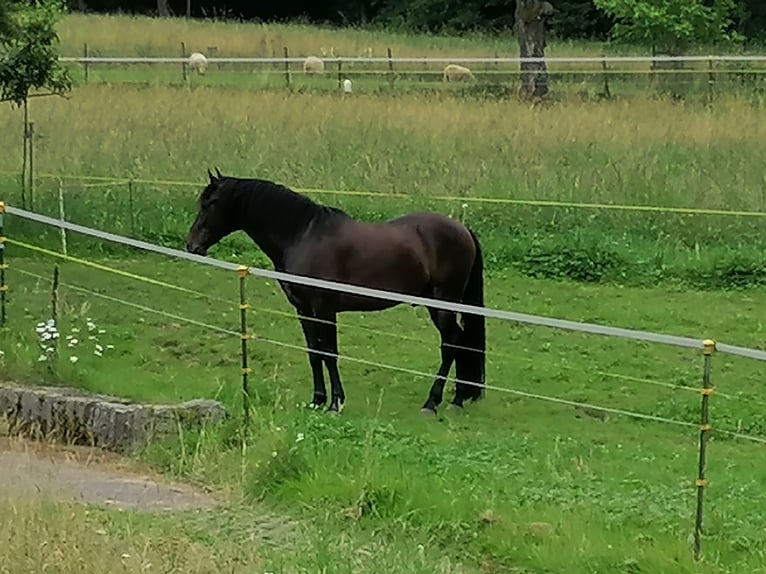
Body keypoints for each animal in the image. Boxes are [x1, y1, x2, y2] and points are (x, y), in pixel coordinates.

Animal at [185, 169, 486, 416]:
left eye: (211, 203)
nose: (192, 245)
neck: (303, 237)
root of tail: (463, 230)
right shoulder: (304, 310)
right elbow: (314, 353)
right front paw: (317, 400)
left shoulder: (324, 309)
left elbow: (330, 353)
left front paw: (335, 403)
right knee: (459, 342)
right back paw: (458, 398)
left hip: (443, 303)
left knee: (451, 344)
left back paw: (432, 403)